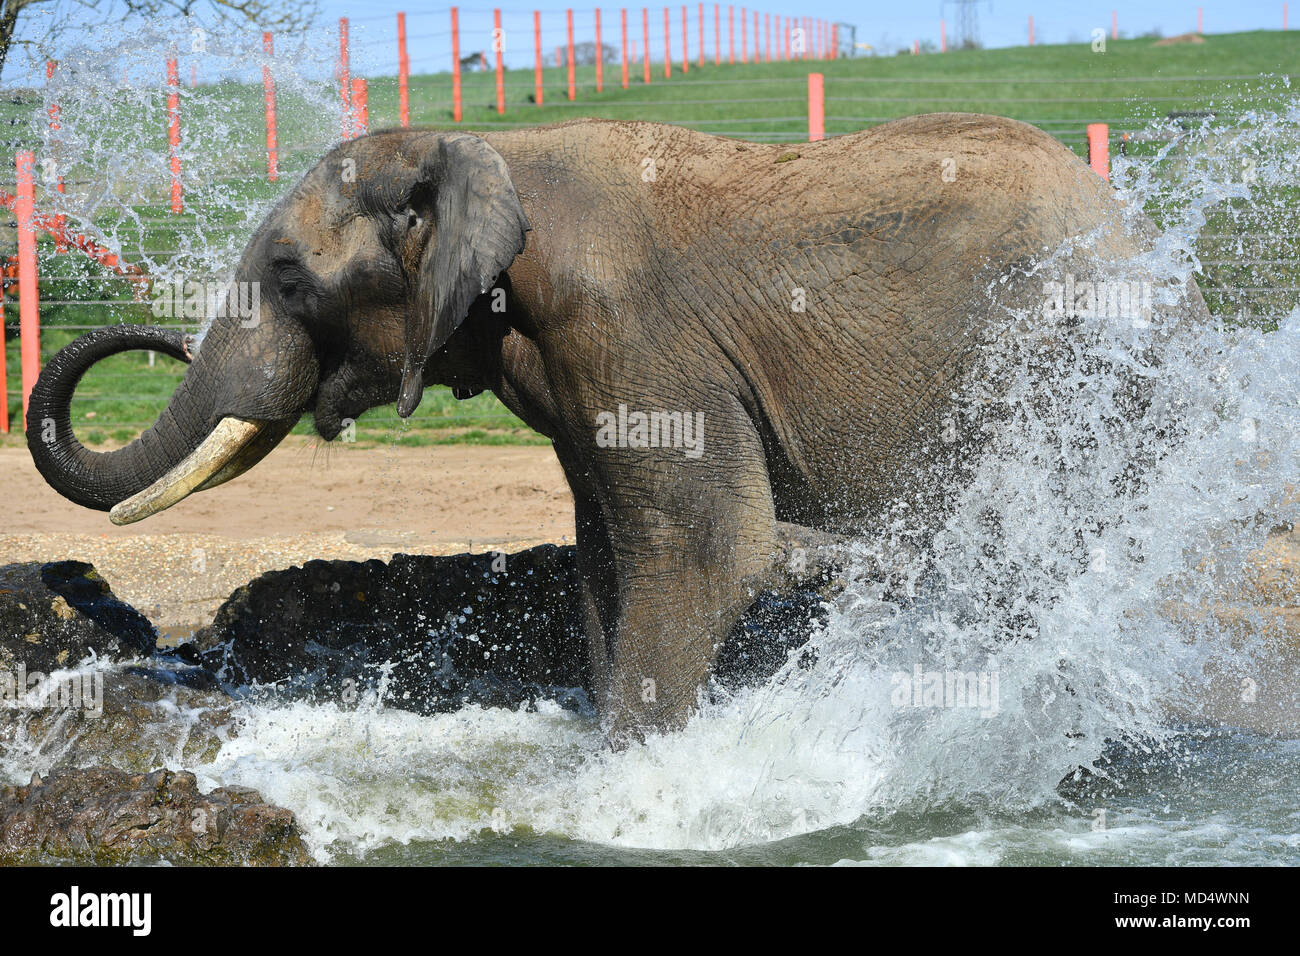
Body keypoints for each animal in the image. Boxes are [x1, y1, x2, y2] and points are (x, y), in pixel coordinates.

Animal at [27, 111, 1206, 738]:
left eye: (283, 273)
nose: (153, 335)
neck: (481, 148)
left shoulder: (630, 332)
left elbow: (703, 553)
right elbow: (608, 559)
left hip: (1077, 371)